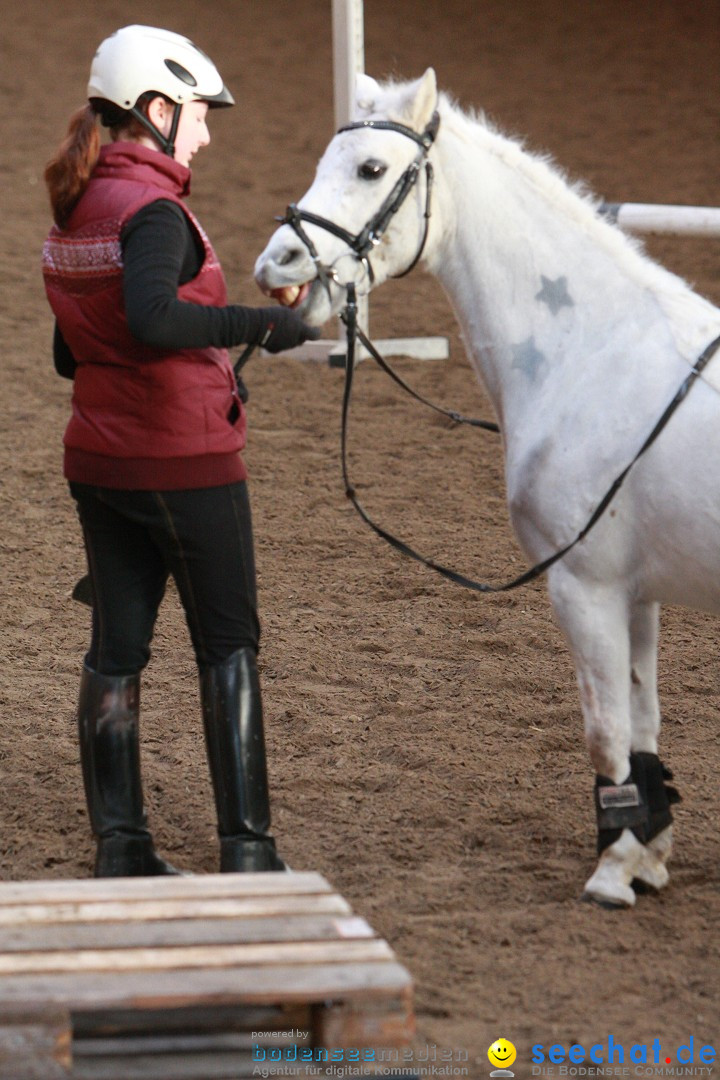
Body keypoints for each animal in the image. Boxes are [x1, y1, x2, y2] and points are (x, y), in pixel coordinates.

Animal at [255, 67, 720, 907]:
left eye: (371, 168)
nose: (277, 264)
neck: (596, 350)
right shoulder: (636, 592)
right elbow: (642, 722)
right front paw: (650, 855)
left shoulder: (585, 586)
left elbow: (605, 733)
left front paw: (614, 867)